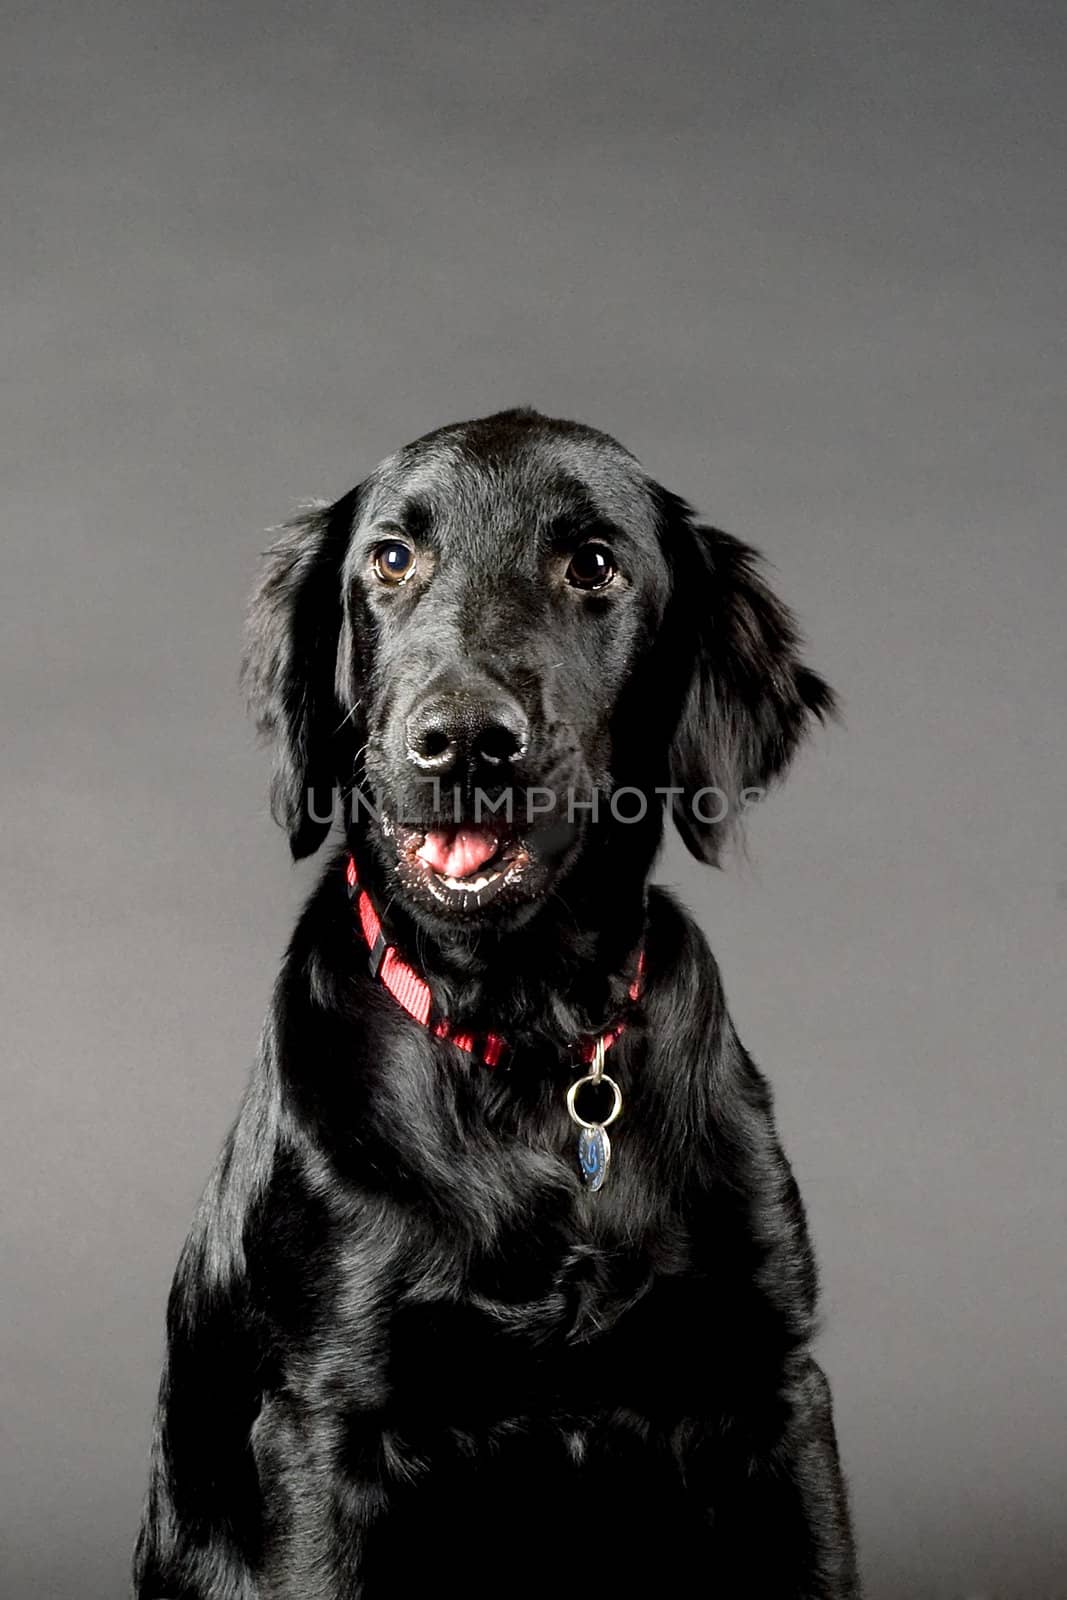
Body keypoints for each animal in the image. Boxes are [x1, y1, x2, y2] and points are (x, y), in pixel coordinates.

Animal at [133, 406, 857, 1593]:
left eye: (593, 565)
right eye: (391, 559)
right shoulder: (322, 1419)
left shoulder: (769, 1385)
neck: (530, 1032)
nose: (461, 739)